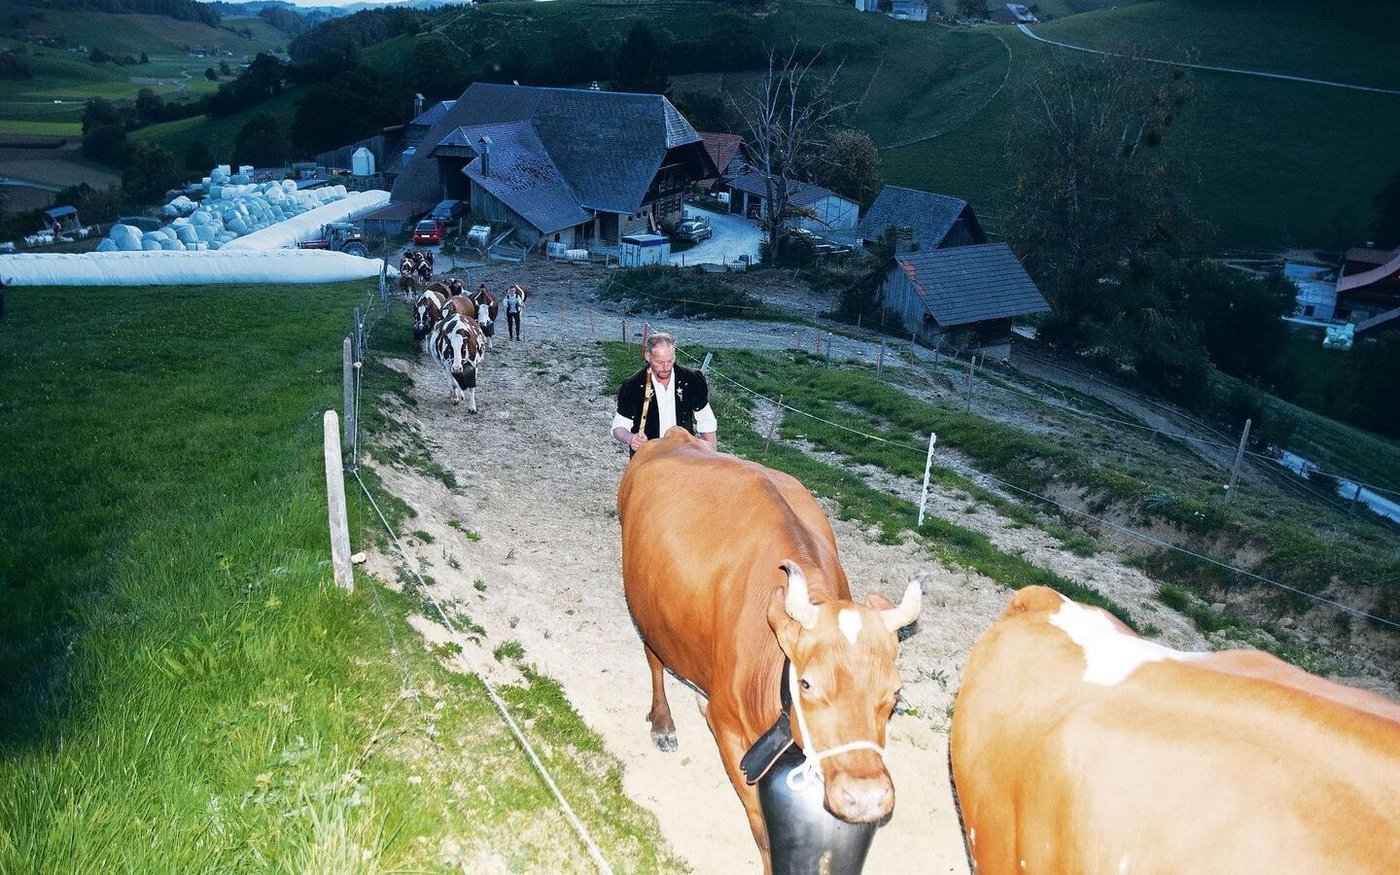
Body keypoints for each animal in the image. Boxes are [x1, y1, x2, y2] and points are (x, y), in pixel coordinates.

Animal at [618, 428, 923, 869]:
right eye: (807, 684)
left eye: (896, 693)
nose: (866, 798)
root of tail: (673, 436)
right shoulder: (726, 724)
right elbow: (760, 825)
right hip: (644, 606)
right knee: (654, 658)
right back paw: (662, 722)